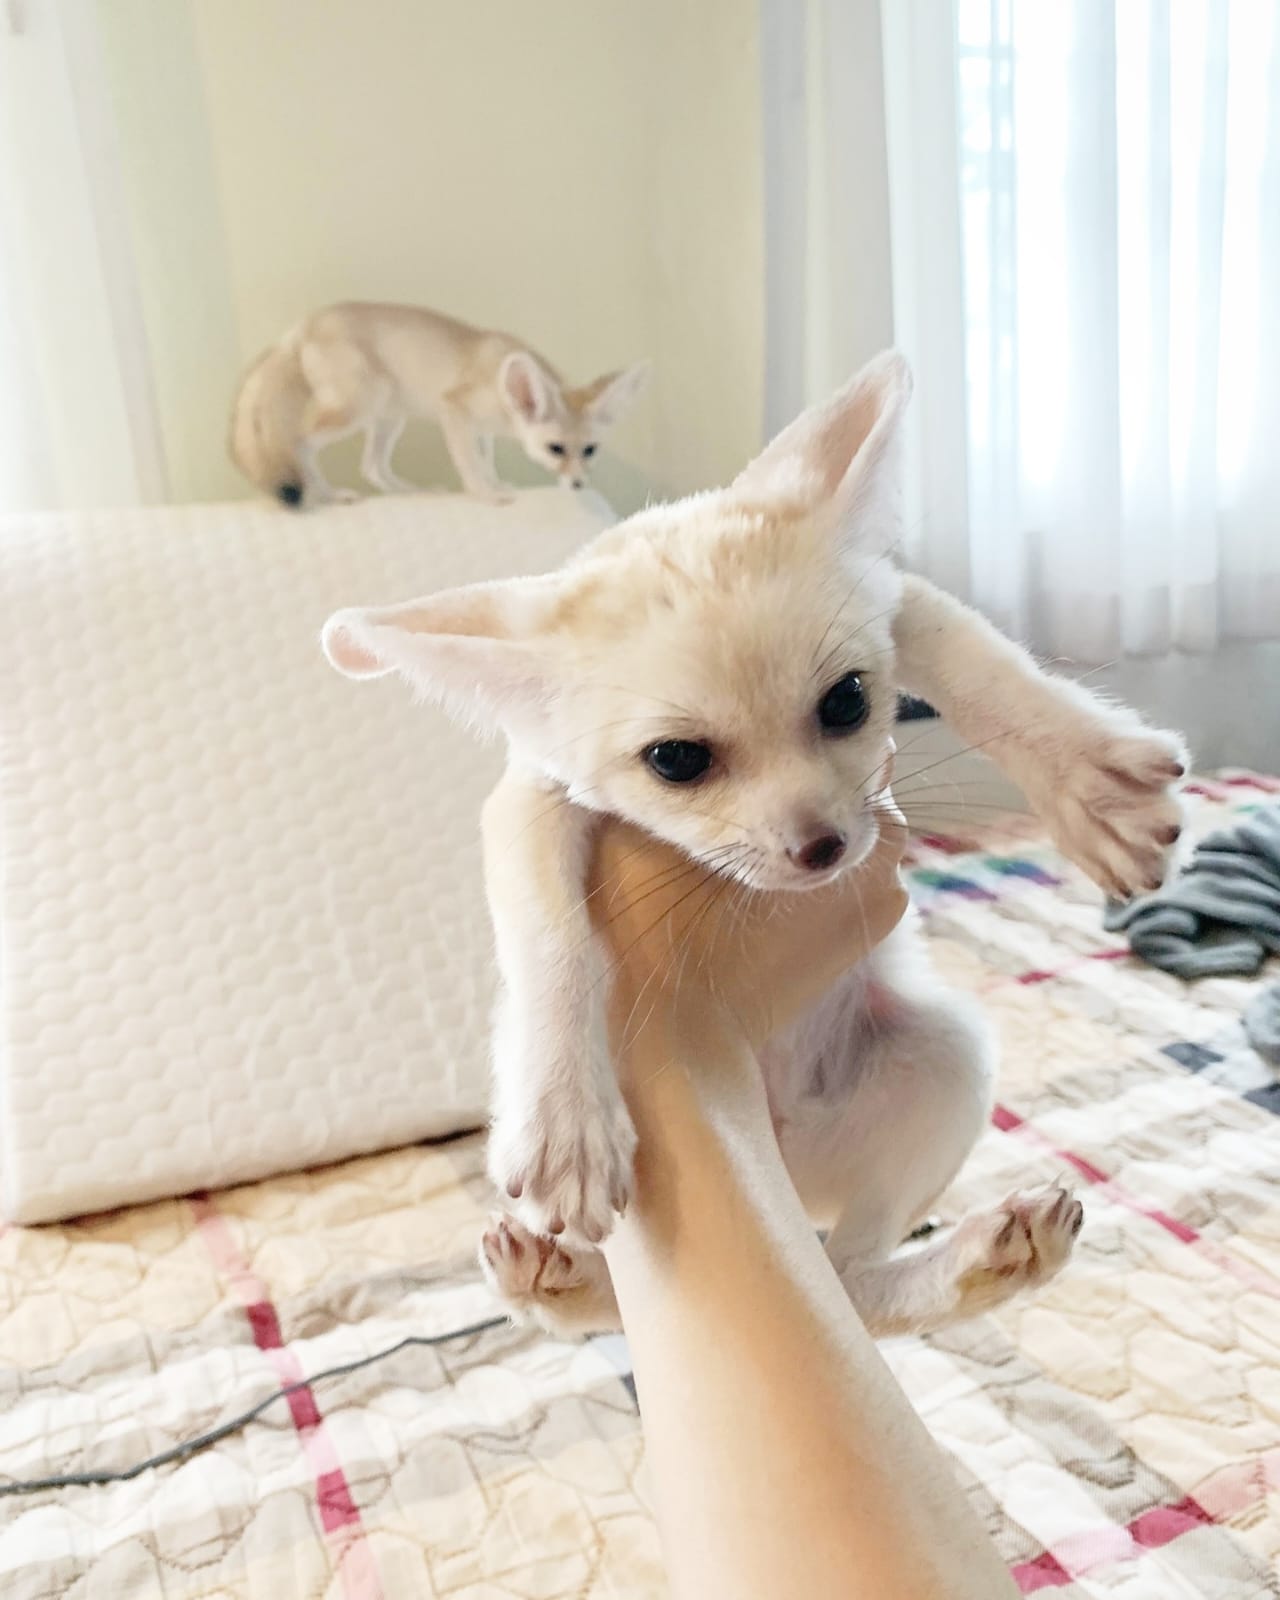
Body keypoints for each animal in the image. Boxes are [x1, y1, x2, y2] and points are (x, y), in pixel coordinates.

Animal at [228, 301, 649, 510]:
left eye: (590, 450)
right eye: (556, 449)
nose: (578, 484)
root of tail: (298, 328)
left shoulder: (481, 429)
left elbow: (485, 460)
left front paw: (495, 482)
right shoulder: (455, 410)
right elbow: (470, 463)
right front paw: (486, 494)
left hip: (389, 416)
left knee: (373, 467)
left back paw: (414, 494)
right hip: (361, 405)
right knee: (299, 444)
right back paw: (329, 495)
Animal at [320, 351, 1186, 1340]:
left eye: (848, 701)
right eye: (676, 760)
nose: (824, 849)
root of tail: (783, 1169)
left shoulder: (893, 600)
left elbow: (981, 660)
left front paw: (1088, 781)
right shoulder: (532, 795)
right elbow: (552, 939)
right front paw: (565, 1113)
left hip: (947, 1056)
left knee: (850, 1282)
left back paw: (980, 1262)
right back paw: (567, 1284)